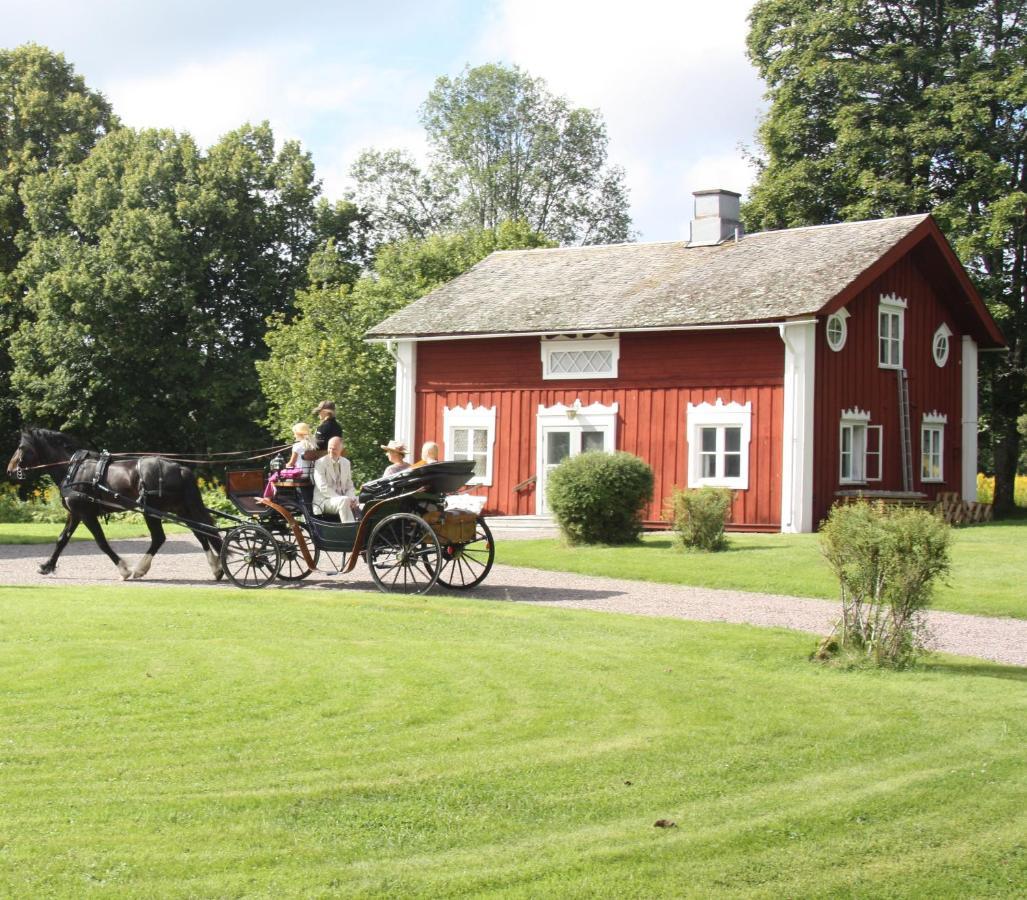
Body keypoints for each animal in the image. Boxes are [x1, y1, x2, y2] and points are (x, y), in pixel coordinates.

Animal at [8, 427, 222, 579]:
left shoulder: (86, 514)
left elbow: (101, 542)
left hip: (152, 511)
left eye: (21, 447)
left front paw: (124, 570)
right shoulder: (75, 513)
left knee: (160, 538)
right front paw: (47, 566)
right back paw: (217, 568)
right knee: (201, 533)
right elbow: (62, 539)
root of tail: (179, 468)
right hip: (180, 509)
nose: (10, 469)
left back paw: (140, 569)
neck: (72, 469)